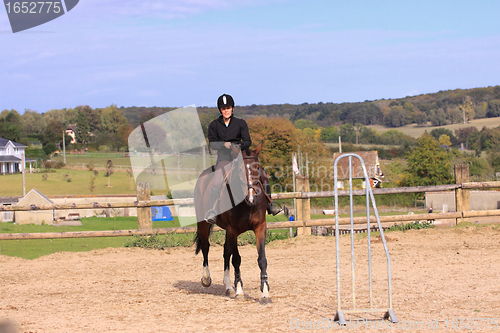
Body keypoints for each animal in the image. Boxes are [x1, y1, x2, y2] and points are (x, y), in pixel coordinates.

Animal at [193, 141, 272, 302]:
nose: (252, 197)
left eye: (258, 167)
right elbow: (236, 259)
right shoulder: (232, 230)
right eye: (240, 169)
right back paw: (206, 279)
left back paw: (228, 286)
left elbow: (262, 259)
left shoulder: (260, 227)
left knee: (225, 251)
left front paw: (265, 292)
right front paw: (240, 290)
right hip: (204, 224)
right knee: (206, 247)